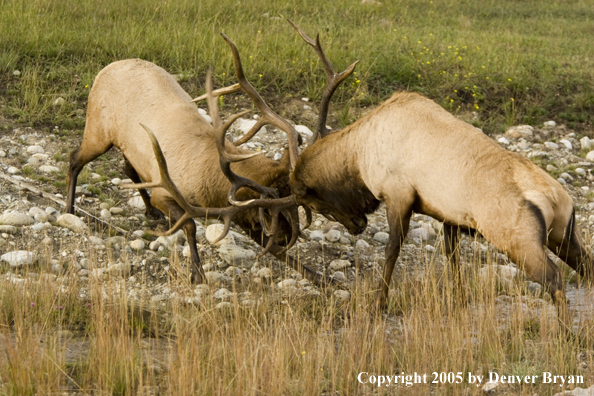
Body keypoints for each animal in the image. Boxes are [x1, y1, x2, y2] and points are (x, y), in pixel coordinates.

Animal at [69, 34, 328, 284]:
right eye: (267, 210)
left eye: (289, 198)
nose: (287, 237)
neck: (211, 184)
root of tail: (106, 68)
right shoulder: (168, 193)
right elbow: (190, 225)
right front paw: (197, 273)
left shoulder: (239, 213)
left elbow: (272, 250)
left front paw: (322, 279)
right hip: (98, 131)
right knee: (75, 159)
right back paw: (70, 209)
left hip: (128, 146)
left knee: (129, 170)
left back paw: (150, 213)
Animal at [286, 22, 588, 332]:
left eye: (314, 204)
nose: (357, 226)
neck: (359, 154)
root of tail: (557, 199)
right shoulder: (449, 216)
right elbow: (452, 258)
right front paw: (460, 301)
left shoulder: (399, 195)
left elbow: (391, 250)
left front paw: (378, 305)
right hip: (564, 235)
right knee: (586, 267)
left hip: (518, 241)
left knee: (554, 277)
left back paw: (565, 333)